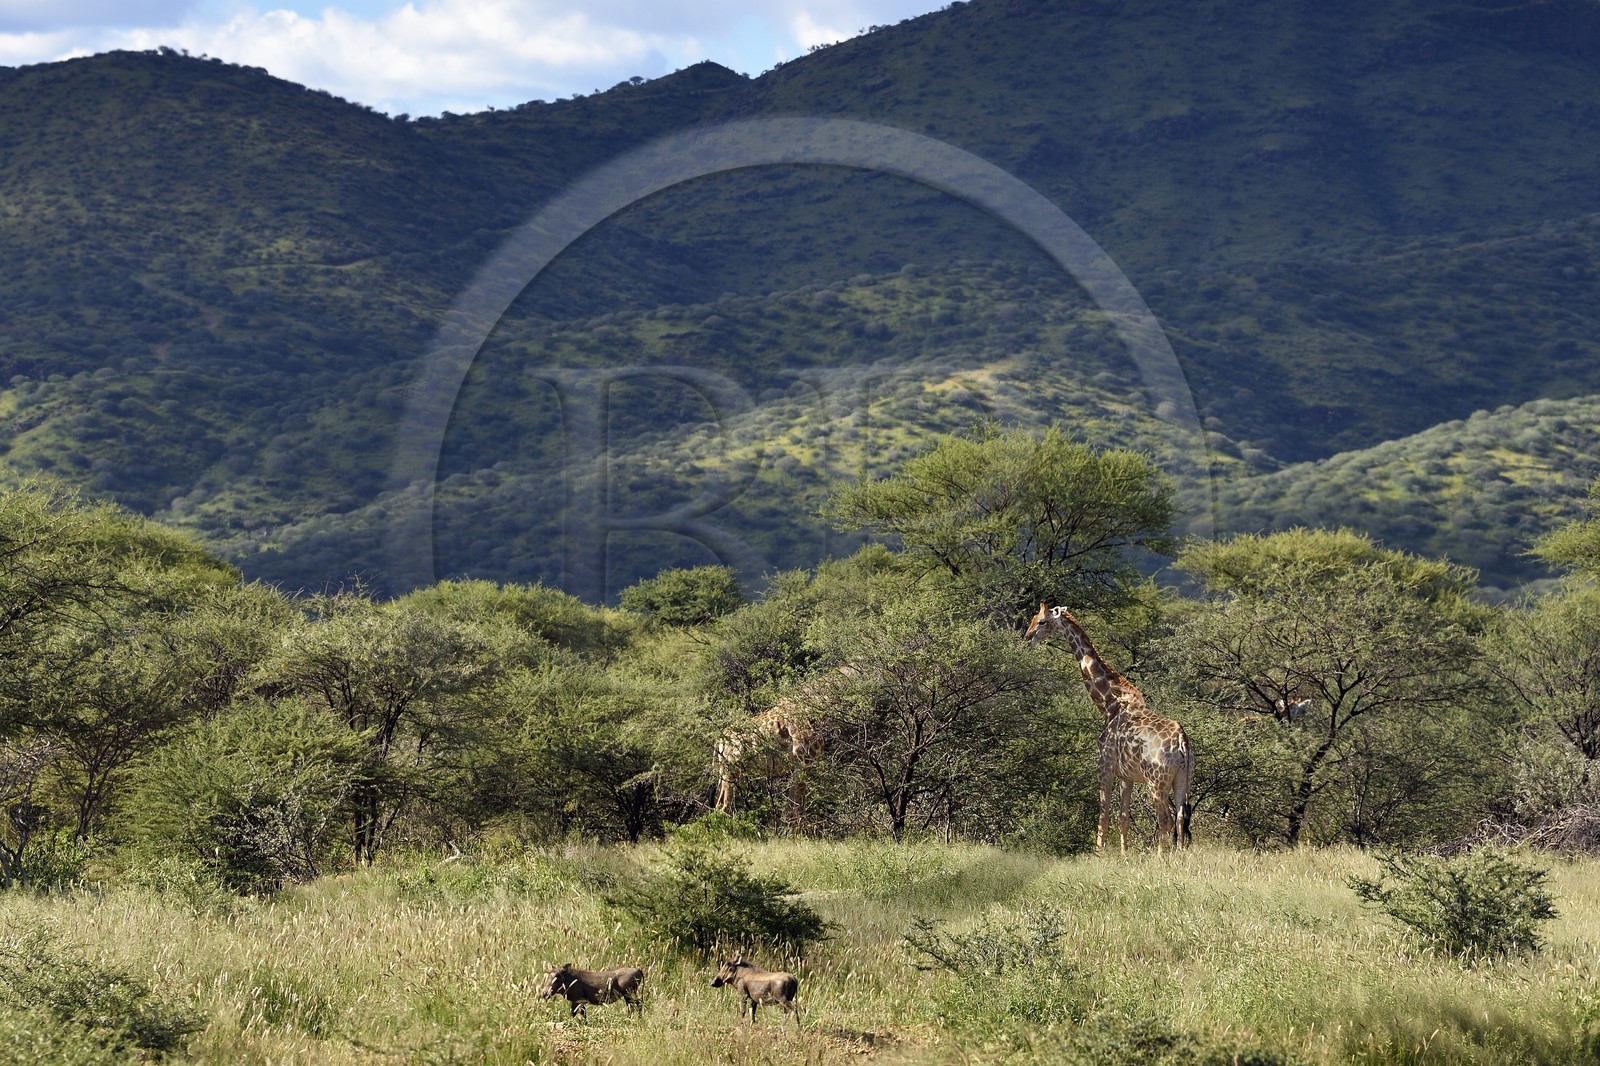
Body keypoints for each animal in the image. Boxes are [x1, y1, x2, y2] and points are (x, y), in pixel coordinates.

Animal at [1024, 603, 1194, 853]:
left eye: (1042, 621)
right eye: (1033, 619)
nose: (1027, 639)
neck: (1109, 704)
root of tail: (1182, 741)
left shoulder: (1104, 768)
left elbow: (1103, 817)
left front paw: (1099, 854)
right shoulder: (1127, 776)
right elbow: (1123, 817)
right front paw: (1124, 854)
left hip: (1156, 781)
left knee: (1166, 820)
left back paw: (1160, 857)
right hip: (1183, 779)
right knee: (1181, 818)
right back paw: (1180, 855)